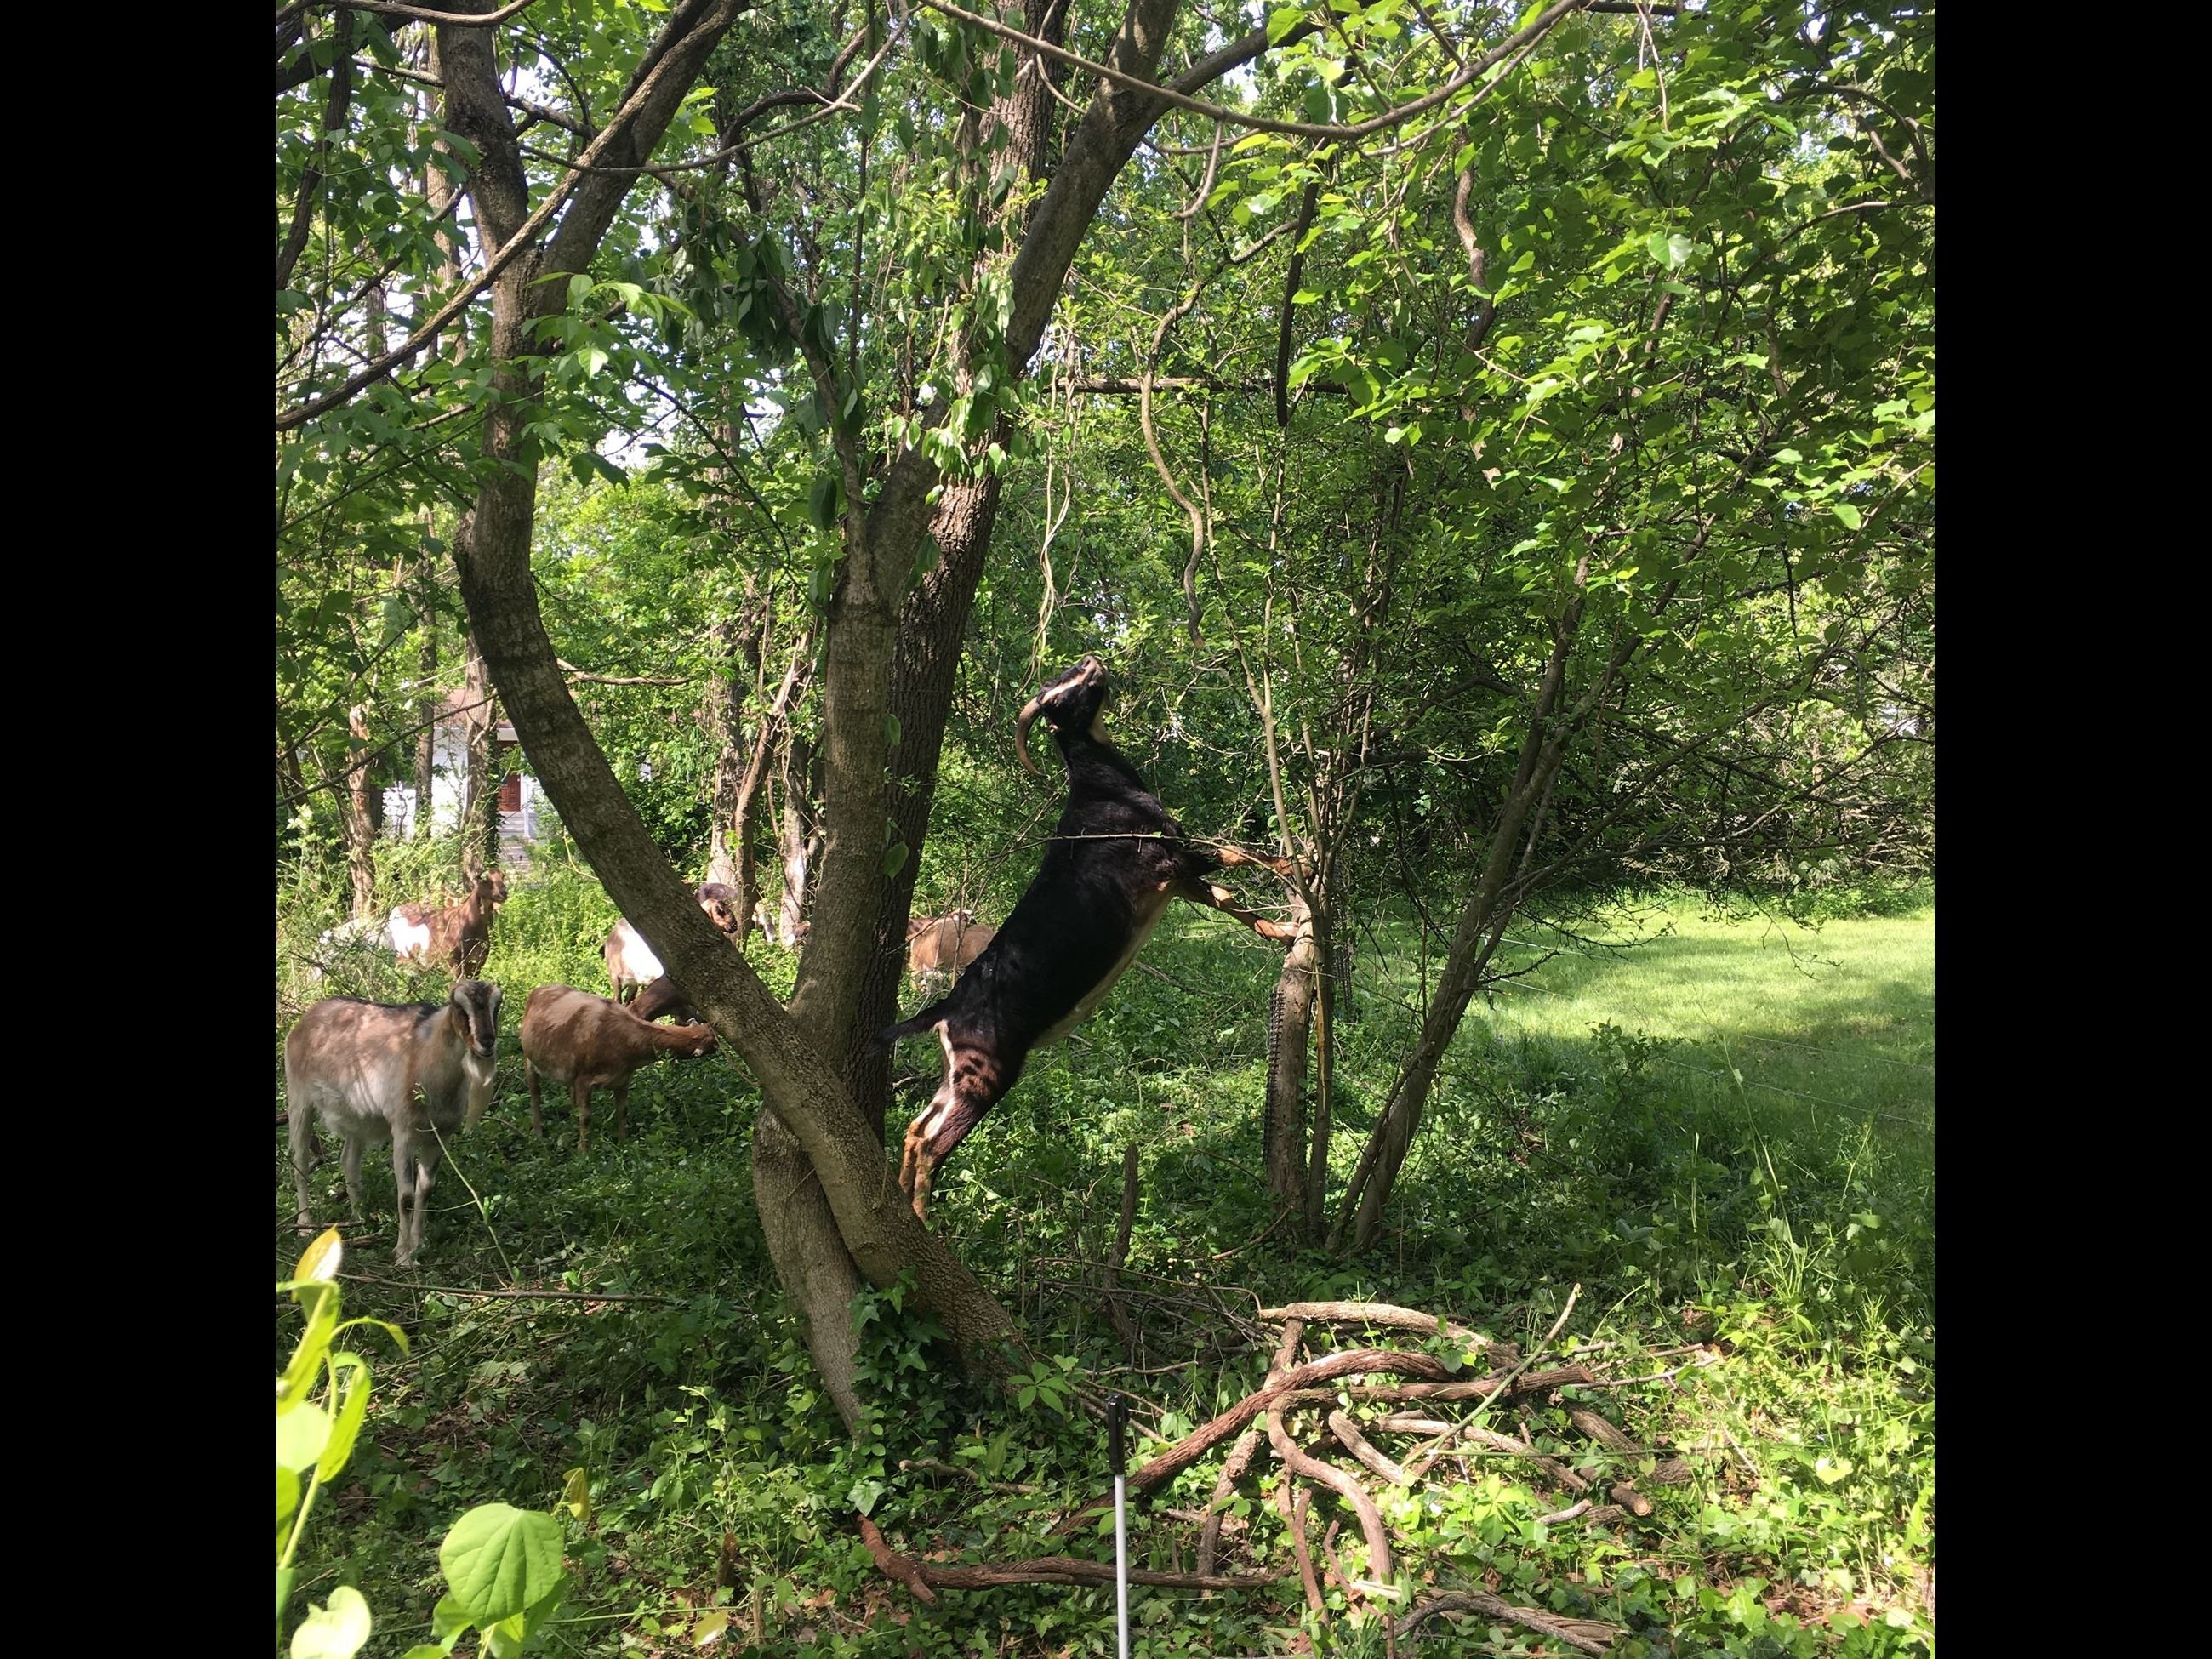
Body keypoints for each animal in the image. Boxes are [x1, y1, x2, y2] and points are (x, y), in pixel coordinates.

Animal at [285, 980, 503, 1266]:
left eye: (498, 1004)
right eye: (458, 1005)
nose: (486, 1042)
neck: (426, 1055)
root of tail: (304, 1021)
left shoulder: (440, 1135)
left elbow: (426, 1189)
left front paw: (419, 1244)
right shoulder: (404, 1133)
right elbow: (407, 1197)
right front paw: (404, 1256)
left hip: (357, 1117)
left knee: (349, 1160)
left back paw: (359, 1220)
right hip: (299, 1100)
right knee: (300, 1162)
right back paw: (305, 1225)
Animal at [519, 985, 717, 1150]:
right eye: (714, 1042)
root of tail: (538, 990)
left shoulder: (623, 1078)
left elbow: (622, 1111)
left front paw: (623, 1144)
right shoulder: (584, 1078)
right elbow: (586, 1117)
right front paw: (584, 1153)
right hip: (529, 1059)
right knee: (535, 1094)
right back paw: (538, 1133)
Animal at [604, 883, 745, 1003]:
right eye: (719, 911)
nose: (734, 926)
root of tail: (608, 940)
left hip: (632, 981)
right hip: (616, 976)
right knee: (618, 999)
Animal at [882, 655, 1294, 1220]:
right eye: (1056, 695)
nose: (1091, 661)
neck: (1103, 790)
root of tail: (947, 1007)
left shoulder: (1179, 882)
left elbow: (1233, 903)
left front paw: (1286, 929)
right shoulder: (1171, 859)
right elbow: (1236, 855)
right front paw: (1298, 866)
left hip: (953, 1074)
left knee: (914, 1129)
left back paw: (905, 1204)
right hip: (986, 1073)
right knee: (931, 1144)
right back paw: (922, 1220)